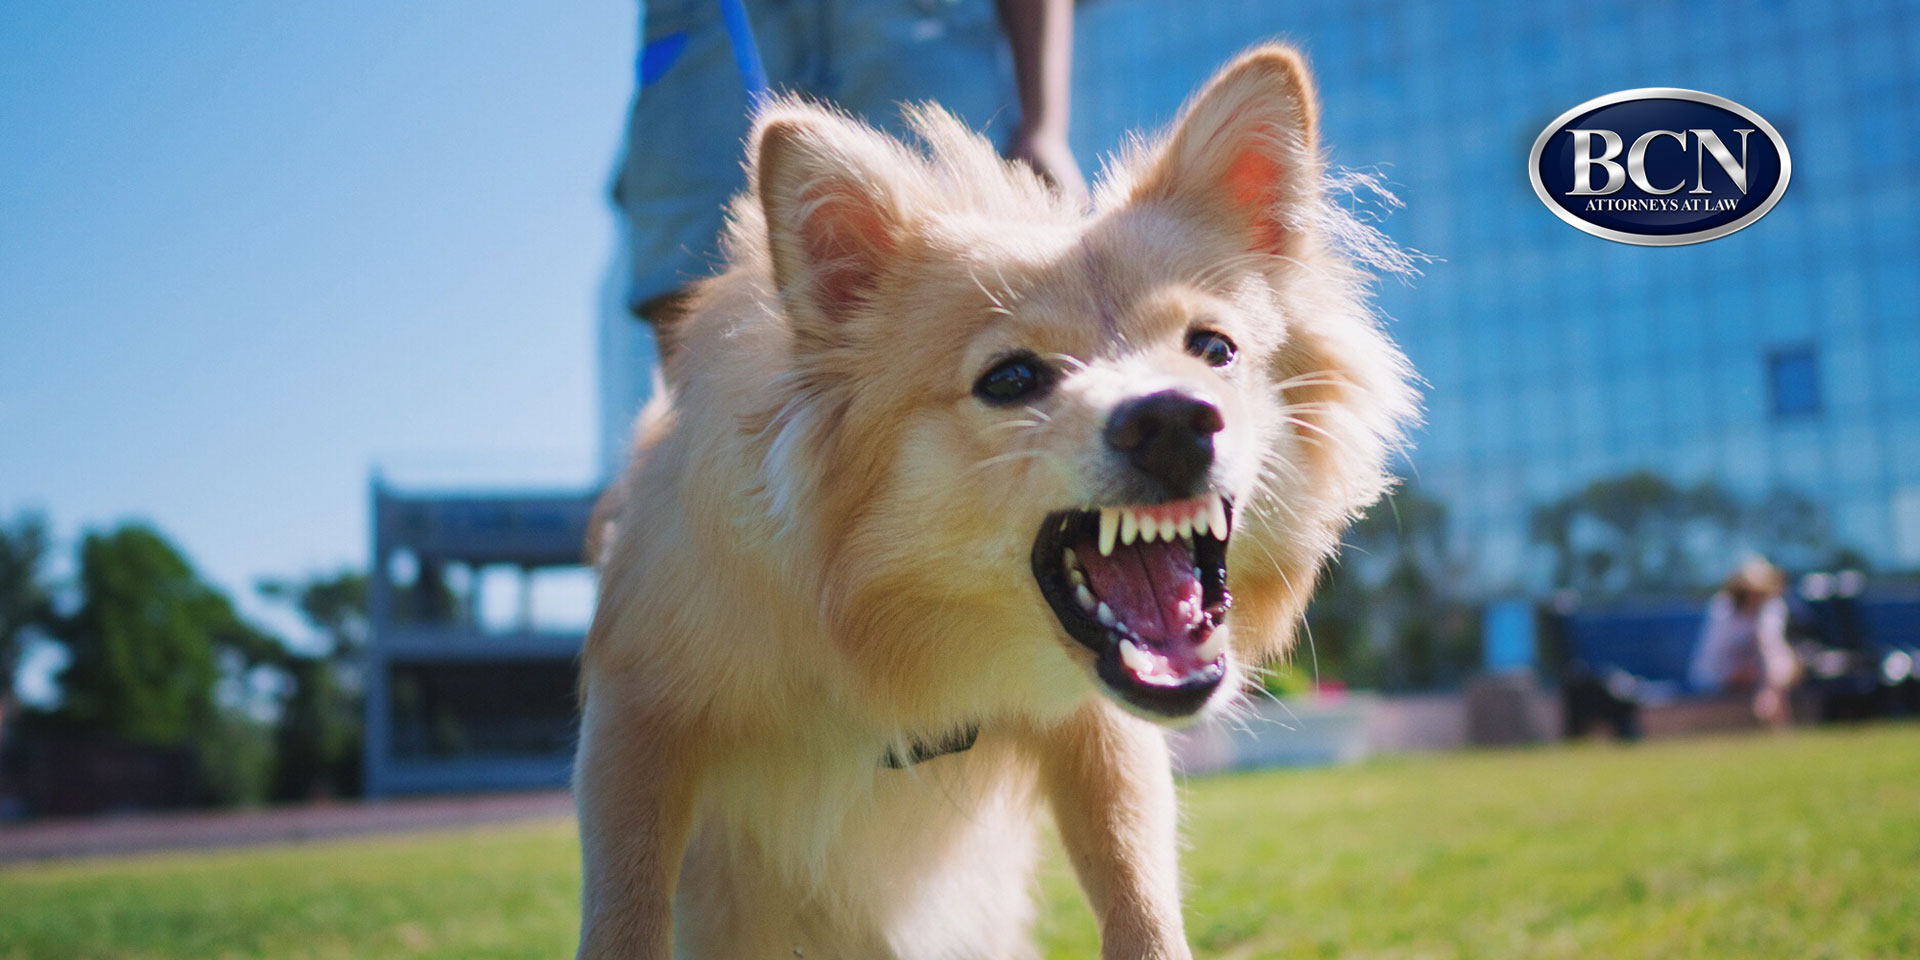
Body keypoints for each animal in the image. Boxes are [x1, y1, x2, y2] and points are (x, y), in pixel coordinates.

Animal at [576, 41, 1420, 956]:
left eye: (1214, 350)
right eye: (1011, 380)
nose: (1172, 419)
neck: (906, 655)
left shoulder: (1102, 736)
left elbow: (1139, 897)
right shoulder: (636, 718)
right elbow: (625, 910)